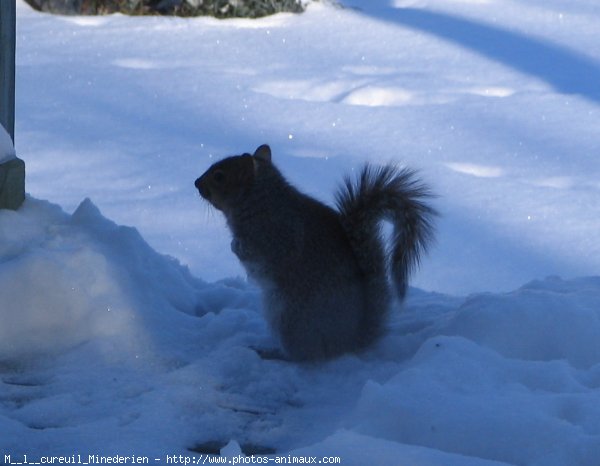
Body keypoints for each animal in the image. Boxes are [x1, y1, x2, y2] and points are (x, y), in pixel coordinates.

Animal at [197, 145, 436, 360]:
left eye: (219, 176)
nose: (196, 183)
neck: (260, 200)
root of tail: (349, 341)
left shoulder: (278, 236)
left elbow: (262, 256)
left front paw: (237, 246)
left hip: (289, 318)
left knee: (304, 355)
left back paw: (272, 353)